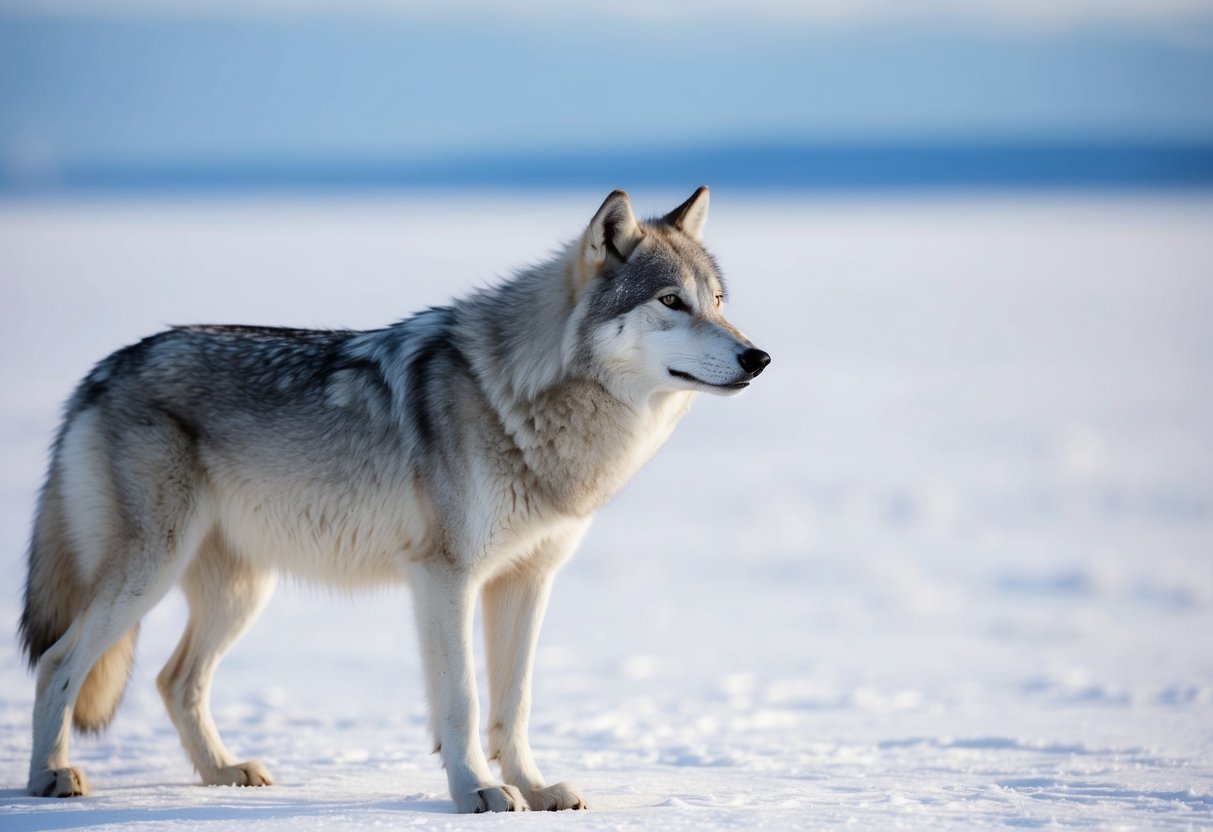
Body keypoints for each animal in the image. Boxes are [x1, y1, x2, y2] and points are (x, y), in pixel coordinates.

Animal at [20, 187, 770, 812]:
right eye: (671, 302)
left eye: (718, 301)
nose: (757, 358)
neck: (520, 397)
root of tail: (102, 370)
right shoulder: (445, 577)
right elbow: (463, 700)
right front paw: (477, 793)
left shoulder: (527, 581)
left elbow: (515, 703)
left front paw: (532, 788)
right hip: (152, 573)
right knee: (60, 661)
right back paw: (49, 778)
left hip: (240, 592)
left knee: (174, 681)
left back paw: (223, 774)